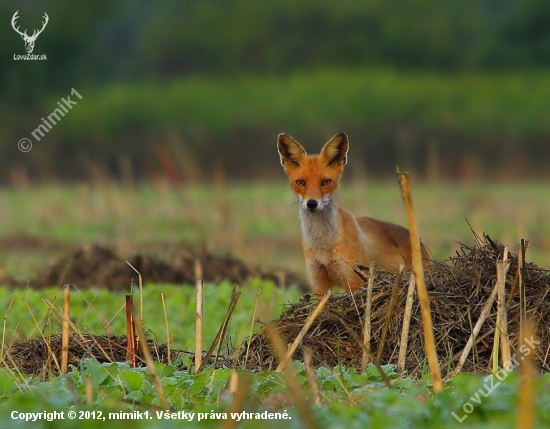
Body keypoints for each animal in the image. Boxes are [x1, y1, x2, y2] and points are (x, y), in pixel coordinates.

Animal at [278, 132, 430, 296]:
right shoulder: (318, 284)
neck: (323, 245)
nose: (312, 203)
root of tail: (418, 240)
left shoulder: (354, 280)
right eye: (300, 182)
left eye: (326, 182)